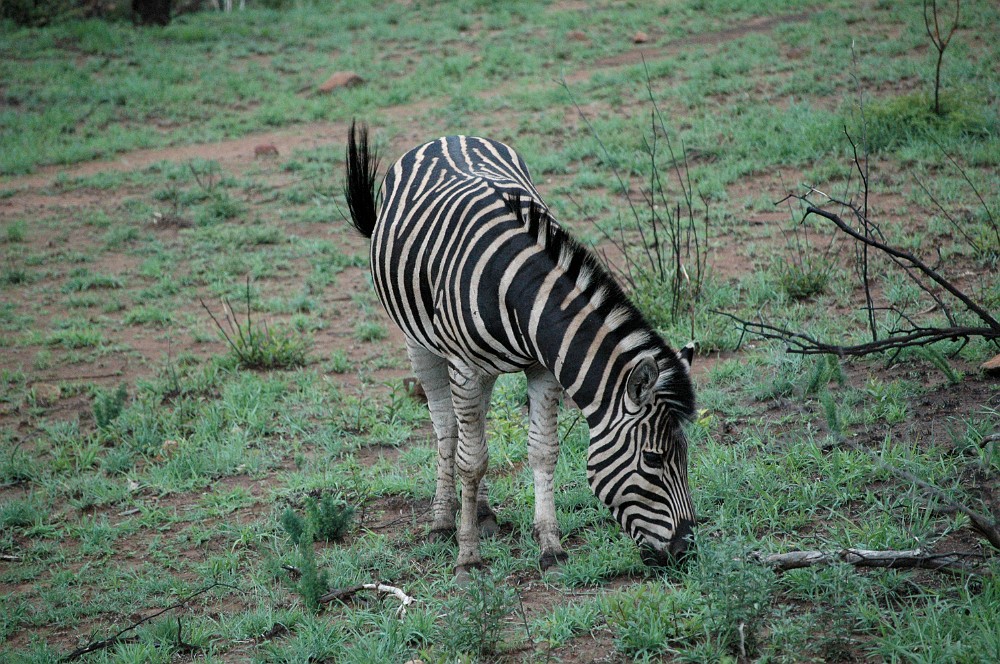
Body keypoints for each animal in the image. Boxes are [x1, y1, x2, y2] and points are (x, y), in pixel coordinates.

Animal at [344, 123, 697, 579]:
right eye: (653, 460)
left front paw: (550, 546)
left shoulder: (543, 368)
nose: (686, 552)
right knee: (447, 428)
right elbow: (470, 461)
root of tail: (446, 137)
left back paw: (481, 512)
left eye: (685, 457)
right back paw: (443, 521)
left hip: (482, 369)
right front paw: (468, 558)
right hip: (419, 342)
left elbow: (541, 451)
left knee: (470, 428)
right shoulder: (464, 367)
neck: (520, 292)